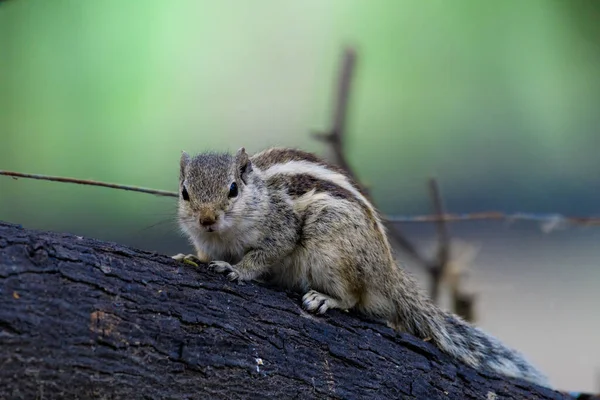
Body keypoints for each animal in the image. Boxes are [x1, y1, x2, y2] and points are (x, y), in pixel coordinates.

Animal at [171, 146, 552, 388]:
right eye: (185, 192)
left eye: (233, 189)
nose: (207, 219)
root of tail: (389, 274)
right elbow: (202, 253)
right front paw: (188, 258)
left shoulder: (281, 227)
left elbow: (264, 255)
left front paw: (236, 270)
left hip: (330, 247)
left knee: (354, 297)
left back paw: (326, 299)